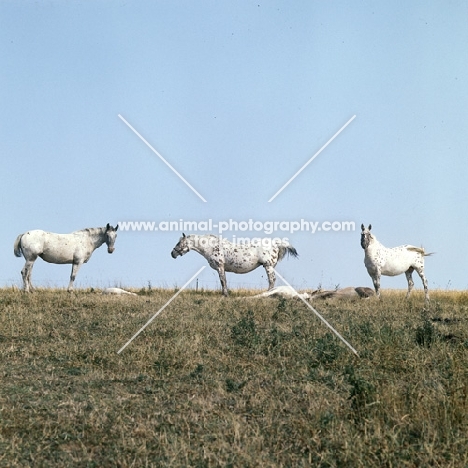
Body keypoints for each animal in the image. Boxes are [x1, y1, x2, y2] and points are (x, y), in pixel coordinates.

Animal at [170, 234, 298, 296]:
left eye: (179, 243)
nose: (172, 254)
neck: (211, 247)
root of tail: (276, 243)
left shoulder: (220, 267)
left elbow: (223, 280)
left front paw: (225, 294)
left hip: (268, 266)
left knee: (272, 280)